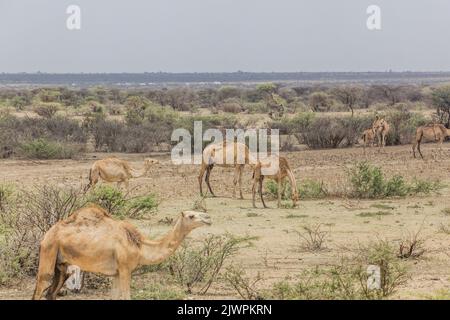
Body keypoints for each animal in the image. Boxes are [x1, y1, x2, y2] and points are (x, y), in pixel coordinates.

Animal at [31, 205, 211, 300]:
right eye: (191, 215)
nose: (208, 218)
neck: (139, 245)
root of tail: (48, 233)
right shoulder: (125, 268)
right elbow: (126, 296)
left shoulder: (117, 273)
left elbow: (115, 296)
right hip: (49, 249)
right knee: (41, 286)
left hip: (61, 264)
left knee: (52, 292)